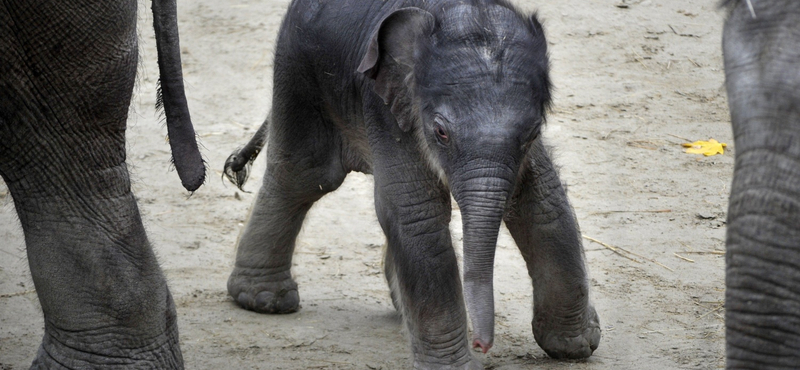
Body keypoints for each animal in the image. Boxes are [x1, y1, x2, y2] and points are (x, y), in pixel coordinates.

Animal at [225, 0, 600, 368]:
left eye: (534, 132)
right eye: (441, 132)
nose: (482, 346)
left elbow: (543, 203)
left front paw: (576, 345)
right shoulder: (388, 107)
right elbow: (418, 216)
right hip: (298, 72)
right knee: (303, 175)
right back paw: (264, 300)